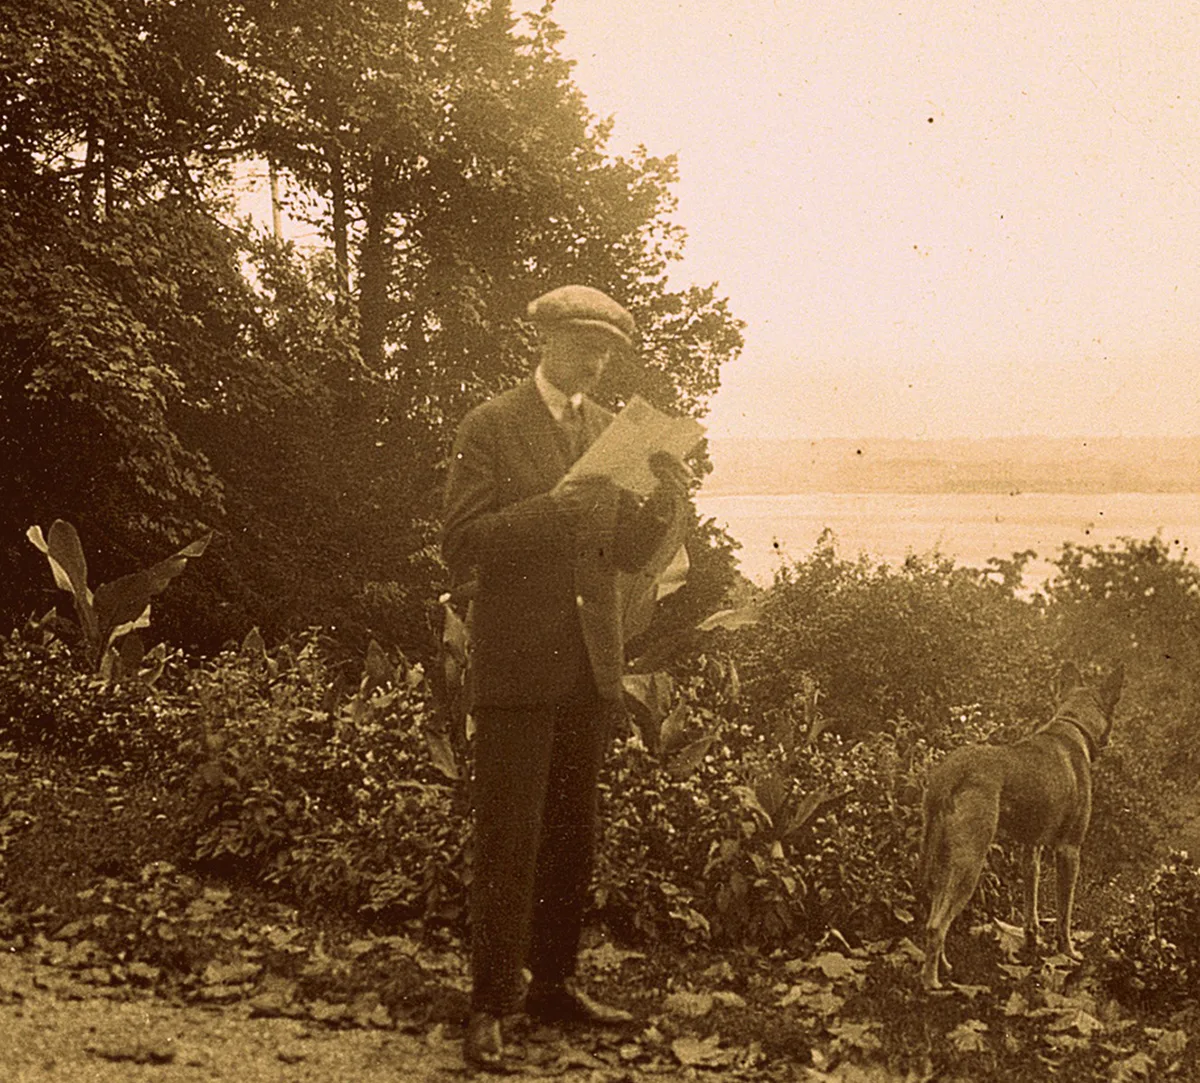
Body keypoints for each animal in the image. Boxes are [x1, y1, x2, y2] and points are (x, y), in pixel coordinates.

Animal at [916, 662, 1123, 994]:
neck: (1072, 727)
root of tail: (951, 772)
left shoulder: (1031, 850)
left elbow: (1031, 906)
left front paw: (1032, 941)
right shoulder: (1069, 851)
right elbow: (1065, 912)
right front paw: (1068, 951)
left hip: (947, 861)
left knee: (936, 916)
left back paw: (944, 965)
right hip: (970, 865)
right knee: (936, 926)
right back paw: (930, 981)